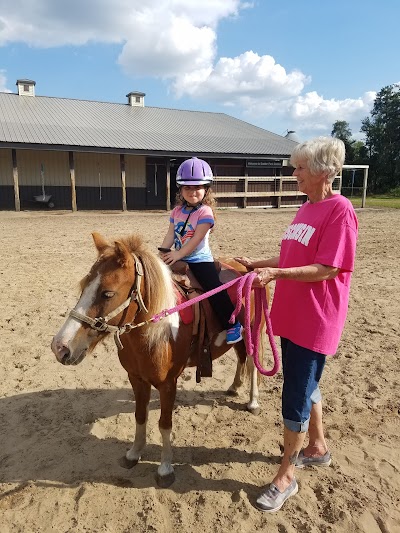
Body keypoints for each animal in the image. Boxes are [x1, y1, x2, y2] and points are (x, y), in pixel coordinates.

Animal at [50, 233, 268, 486]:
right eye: (84, 286)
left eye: (107, 293)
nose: (60, 347)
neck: (156, 330)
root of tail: (247, 268)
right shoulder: (136, 379)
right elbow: (140, 416)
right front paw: (134, 453)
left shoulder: (167, 384)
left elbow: (165, 424)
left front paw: (165, 469)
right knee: (241, 357)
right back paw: (234, 386)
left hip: (253, 332)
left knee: (252, 363)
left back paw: (253, 401)